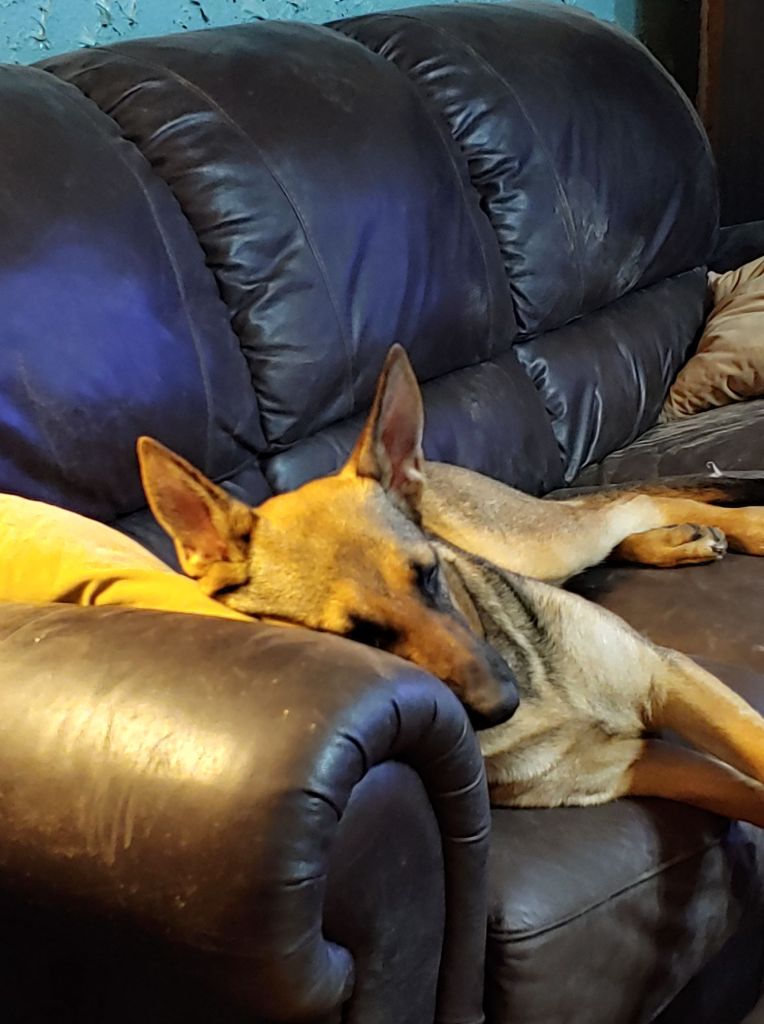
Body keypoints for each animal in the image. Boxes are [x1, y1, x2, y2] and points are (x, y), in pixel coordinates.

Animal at [137, 346, 764, 827]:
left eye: (430, 572)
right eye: (358, 635)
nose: (506, 702)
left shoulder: (670, 675)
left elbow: (753, 745)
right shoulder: (641, 761)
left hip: (540, 542)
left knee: (630, 504)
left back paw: (739, 525)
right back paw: (680, 540)